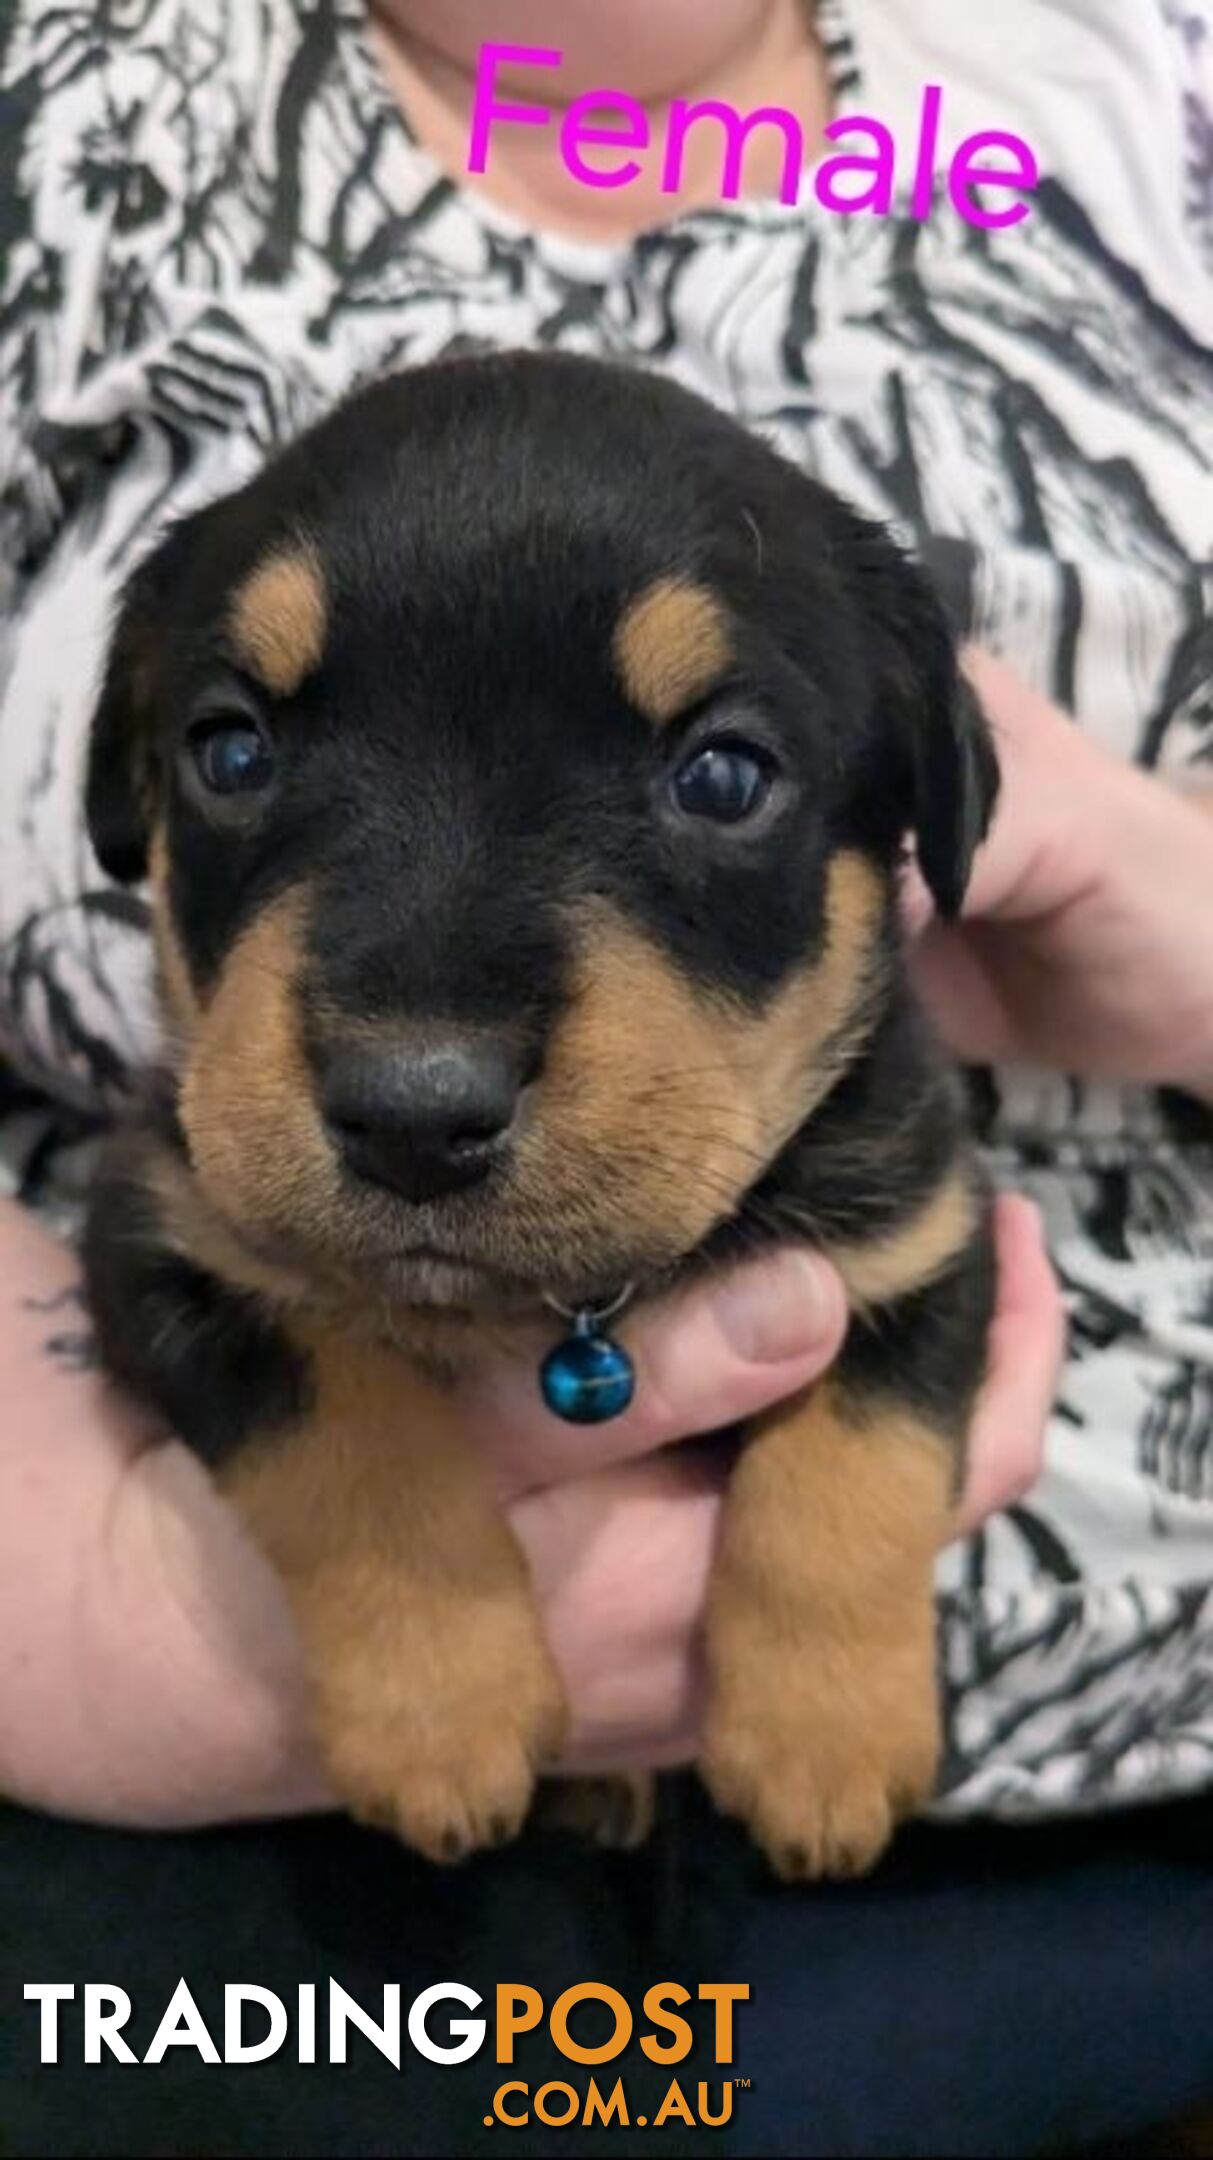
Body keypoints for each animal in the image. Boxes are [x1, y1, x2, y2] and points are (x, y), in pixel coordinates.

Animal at [82, 349, 992, 1874]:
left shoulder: (921, 1237)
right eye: (229, 750)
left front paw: (825, 1749)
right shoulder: (166, 1242)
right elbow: (347, 1431)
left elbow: (855, 1472)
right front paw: (441, 1720)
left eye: (724, 774)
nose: (413, 1112)